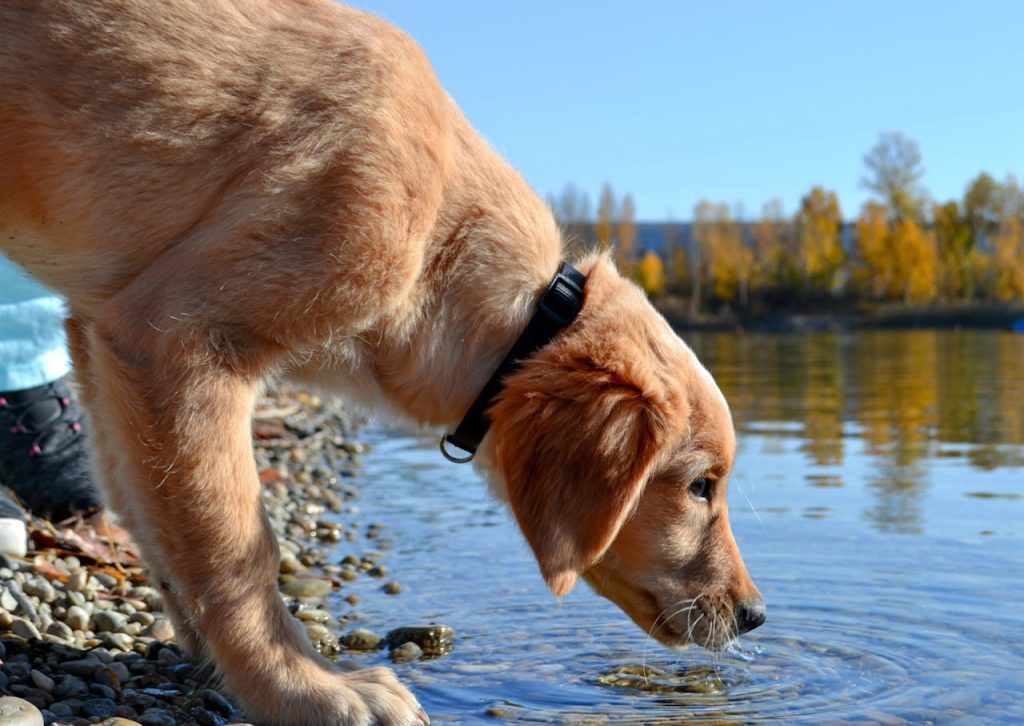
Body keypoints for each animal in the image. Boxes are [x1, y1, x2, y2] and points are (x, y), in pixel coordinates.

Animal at [0, 1, 761, 724]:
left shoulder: (105, 338)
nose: (756, 615)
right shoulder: (177, 338)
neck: (442, 231)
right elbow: (234, 549)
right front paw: (302, 688)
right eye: (701, 486)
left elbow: (154, 514)